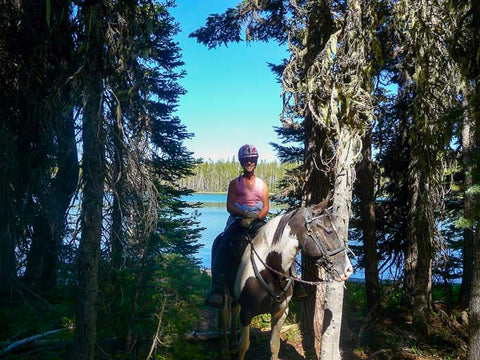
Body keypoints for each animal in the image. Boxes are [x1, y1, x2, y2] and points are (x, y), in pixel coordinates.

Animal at [212, 200, 354, 360]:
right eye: (329, 232)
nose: (348, 270)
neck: (270, 269)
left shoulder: (280, 312)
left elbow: (274, 345)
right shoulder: (247, 312)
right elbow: (244, 346)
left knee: (234, 310)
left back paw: (233, 342)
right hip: (225, 291)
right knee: (225, 315)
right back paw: (225, 349)